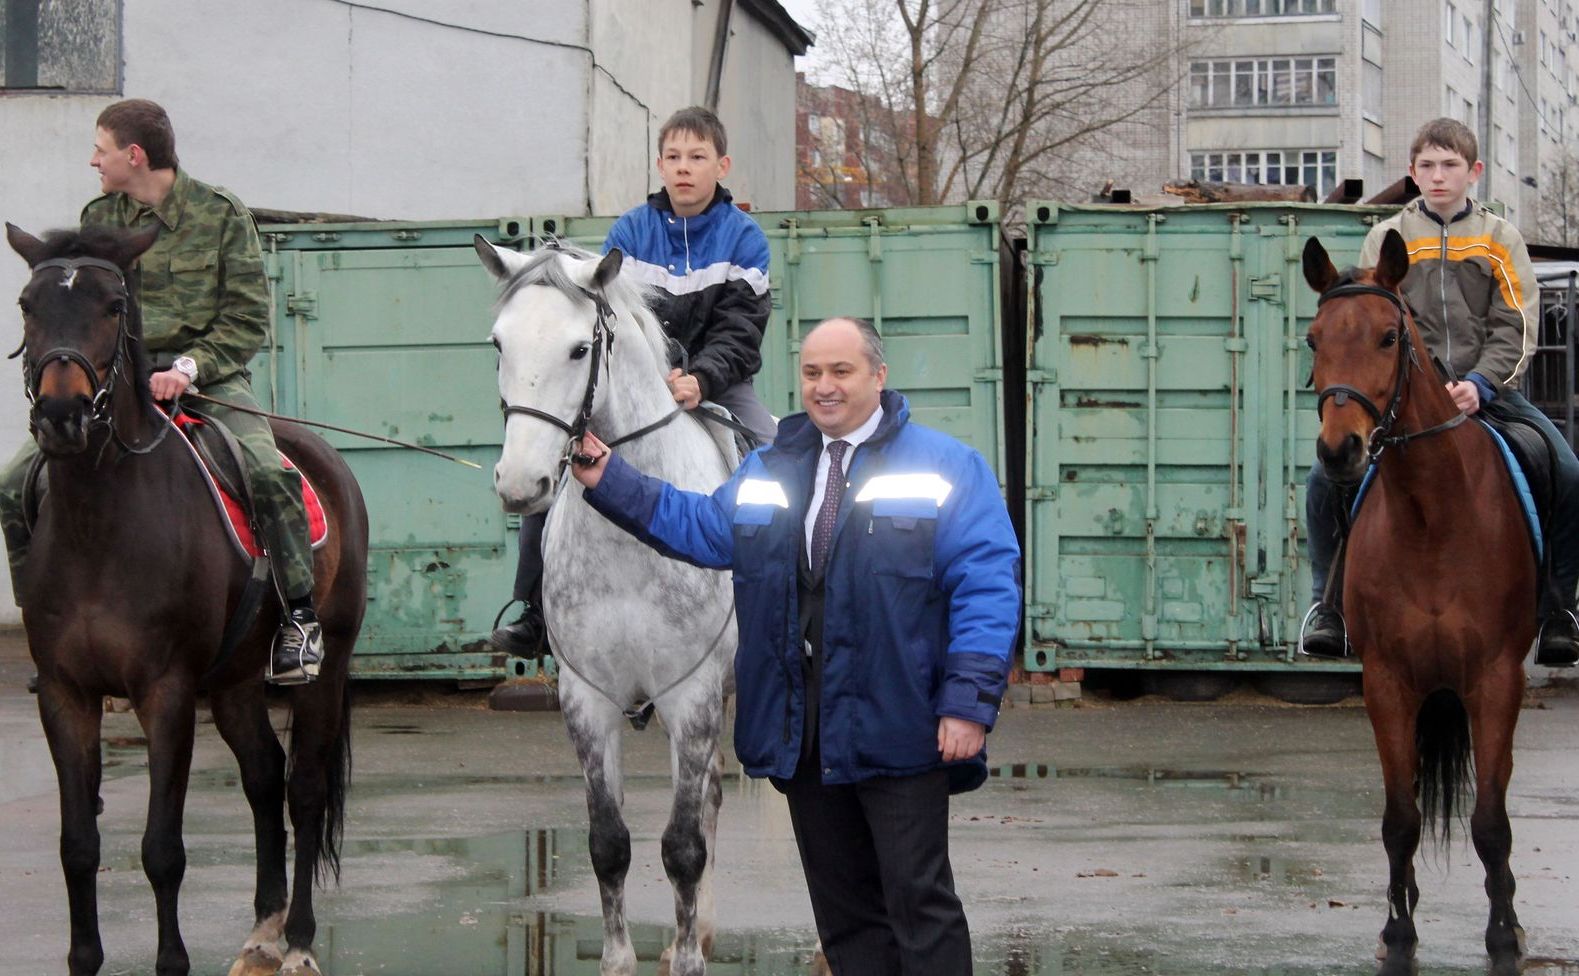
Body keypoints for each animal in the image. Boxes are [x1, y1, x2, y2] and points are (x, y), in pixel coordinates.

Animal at [6, 222, 369, 972]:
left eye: (114, 305)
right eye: (28, 305)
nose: (60, 417)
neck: (100, 524)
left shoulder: (166, 693)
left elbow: (162, 850)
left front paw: (171, 960)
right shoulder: (66, 694)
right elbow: (78, 846)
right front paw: (84, 957)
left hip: (327, 667)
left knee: (303, 789)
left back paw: (297, 940)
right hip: (232, 683)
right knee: (263, 775)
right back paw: (262, 930)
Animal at [470, 236, 735, 972]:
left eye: (578, 348)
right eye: (498, 343)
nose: (520, 482)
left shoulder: (690, 695)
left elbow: (681, 848)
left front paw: (686, 959)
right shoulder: (586, 699)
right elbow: (609, 845)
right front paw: (631, 957)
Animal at [1301, 230, 1534, 972]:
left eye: (1386, 336)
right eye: (1314, 338)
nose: (1339, 450)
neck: (1431, 513)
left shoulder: (1496, 680)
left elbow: (1489, 823)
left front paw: (1502, 933)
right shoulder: (1387, 683)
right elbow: (1400, 820)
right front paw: (1396, 930)